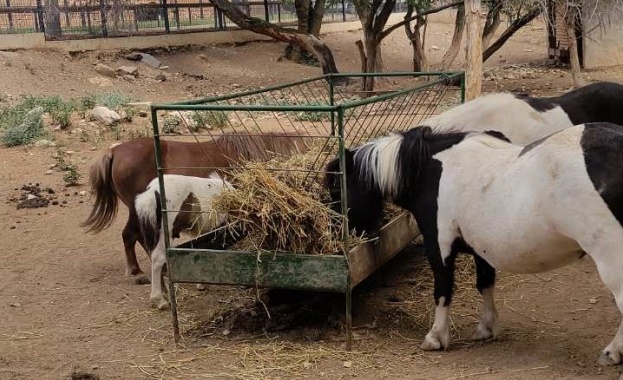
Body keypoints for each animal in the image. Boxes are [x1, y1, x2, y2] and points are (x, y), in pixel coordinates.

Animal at [324, 122, 623, 366]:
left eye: (336, 188)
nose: (339, 239)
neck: (428, 170)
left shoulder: (439, 246)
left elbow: (443, 290)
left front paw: (436, 337)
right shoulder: (482, 250)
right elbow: (485, 284)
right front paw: (486, 328)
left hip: (611, 258)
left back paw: (612, 353)